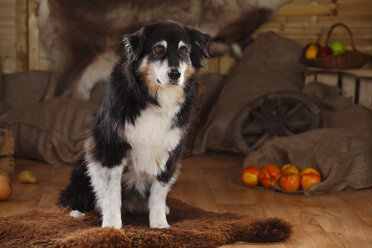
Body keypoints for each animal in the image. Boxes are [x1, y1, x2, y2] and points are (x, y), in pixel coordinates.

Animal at [60, 20, 211, 230]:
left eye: (184, 50)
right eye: (158, 49)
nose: (175, 74)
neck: (152, 98)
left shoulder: (169, 155)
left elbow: (158, 194)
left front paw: (159, 224)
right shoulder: (111, 150)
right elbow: (112, 194)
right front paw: (112, 226)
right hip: (85, 163)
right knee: (73, 196)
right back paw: (76, 212)